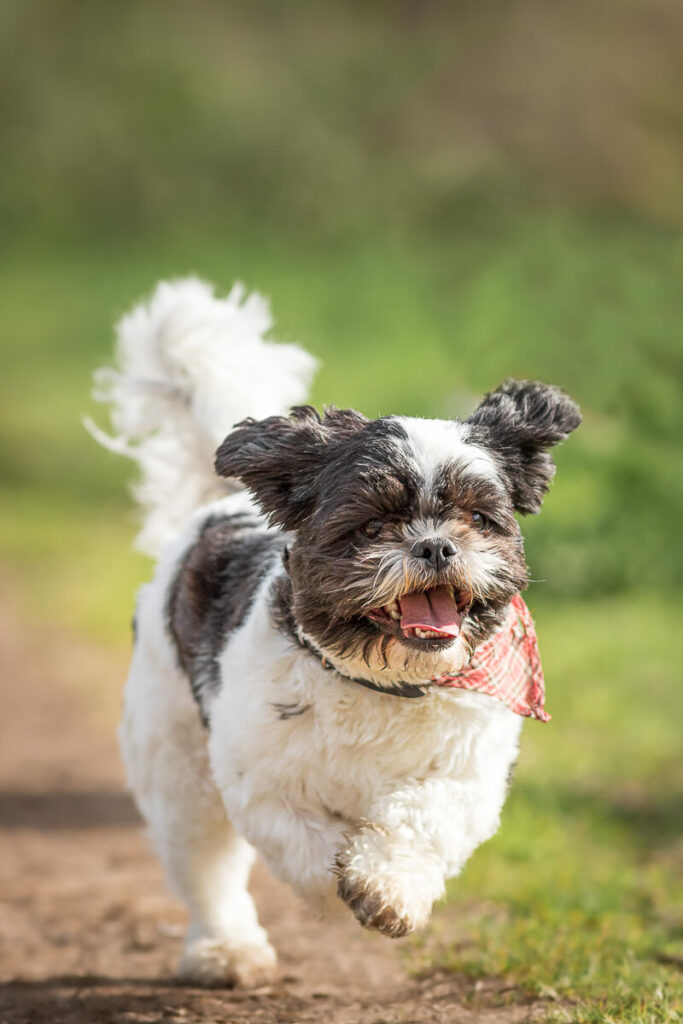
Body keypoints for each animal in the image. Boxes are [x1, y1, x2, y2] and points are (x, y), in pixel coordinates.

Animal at [89, 276, 581, 987]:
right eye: (372, 524)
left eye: (474, 518)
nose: (435, 546)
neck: (383, 683)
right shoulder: (261, 780)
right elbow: (305, 843)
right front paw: (337, 885)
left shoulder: (470, 773)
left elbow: (420, 818)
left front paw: (385, 887)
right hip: (176, 762)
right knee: (205, 865)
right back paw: (226, 949)